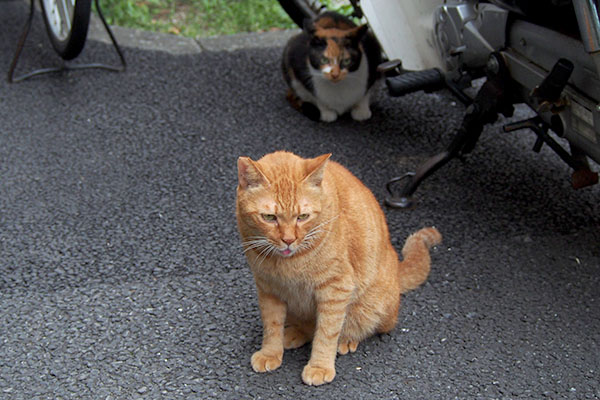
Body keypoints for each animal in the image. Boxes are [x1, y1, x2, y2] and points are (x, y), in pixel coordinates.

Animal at [237, 152, 442, 386]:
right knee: (305, 327)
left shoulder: (336, 288)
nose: (288, 240)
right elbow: (271, 325)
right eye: (269, 217)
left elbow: (326, 332)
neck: (288, 264)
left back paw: (346, 339)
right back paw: (293, 333)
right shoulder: (268, 288)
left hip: (372, 308)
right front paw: (271, 352)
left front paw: (320, 366)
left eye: (302, 217)